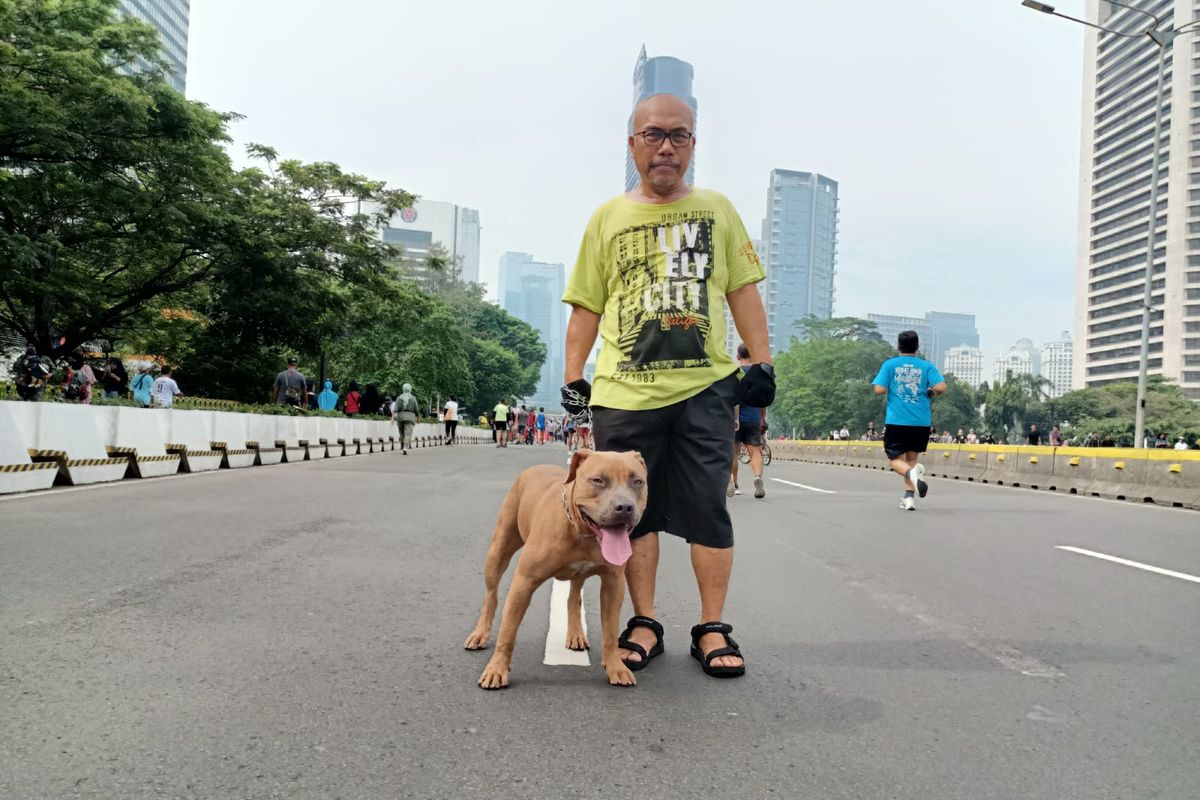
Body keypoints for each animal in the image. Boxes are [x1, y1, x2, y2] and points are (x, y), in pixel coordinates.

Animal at [460, 450, 648, 690]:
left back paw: (576, 633)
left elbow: (610, 631)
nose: (624, 507)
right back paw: (480, 633)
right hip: (497, 552)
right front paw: (496, 669)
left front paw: (616, 666)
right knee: (491, 596)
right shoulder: (524, 582)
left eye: (637, 482)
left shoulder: (613, 584)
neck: (583, 534)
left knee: (573, 598)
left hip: (578, 576)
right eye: (598, 480)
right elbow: (508, 631)